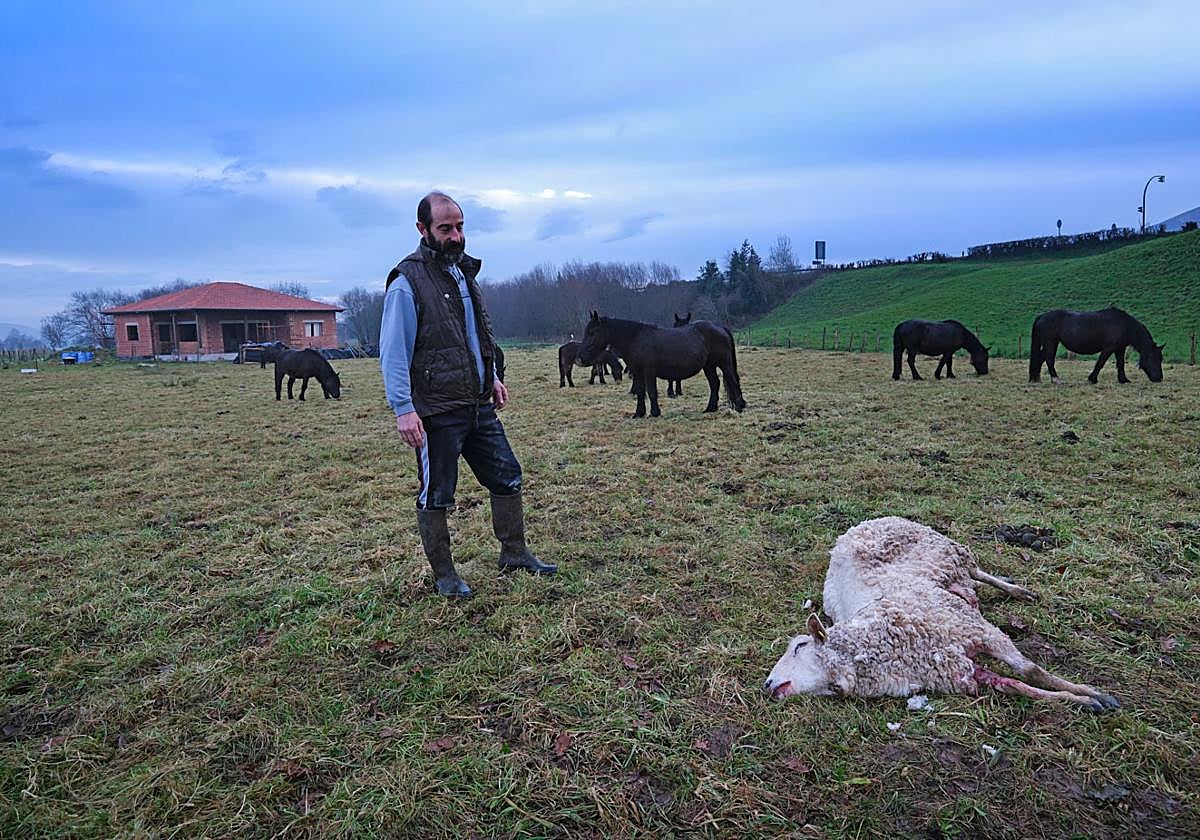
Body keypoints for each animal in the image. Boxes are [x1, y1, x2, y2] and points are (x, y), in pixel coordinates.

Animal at [577, 311, 746, 418]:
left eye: (592, 332)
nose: (581, 358)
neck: (637, 339)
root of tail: (720, 327)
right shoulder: (637, 372)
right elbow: (640, 392)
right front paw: (639, 413)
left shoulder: (649, 372)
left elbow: (651, 392)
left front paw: (654, 412)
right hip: (708, 366)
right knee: (714, 384)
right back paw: (710, 408)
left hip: (724, 363)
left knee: (732, 381)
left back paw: (739, 406)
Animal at [763, 517, 1119, 711]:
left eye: (799, 647)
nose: (767, 685)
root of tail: (858, 527)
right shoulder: (959, 671)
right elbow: (1017, 686)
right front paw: (1081, 701)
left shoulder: (979, 630)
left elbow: (1031, 670)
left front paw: (1091, 694)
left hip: (951, 552)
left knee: (980, 572)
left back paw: (1018, 590)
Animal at [1029, 308, 1164, 384]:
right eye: (1154, 358)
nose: (1159, 378)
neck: (1124, 325)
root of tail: (1042, 316)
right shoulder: (1109, 348)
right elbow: (1100, 363)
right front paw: (1092, 379)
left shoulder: (1120, 348)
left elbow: (1120, 364)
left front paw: (1123, 380)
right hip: (1051, 343)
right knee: (1049, 359)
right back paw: (1056, 379)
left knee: (1040, 358)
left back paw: (1036, 379)